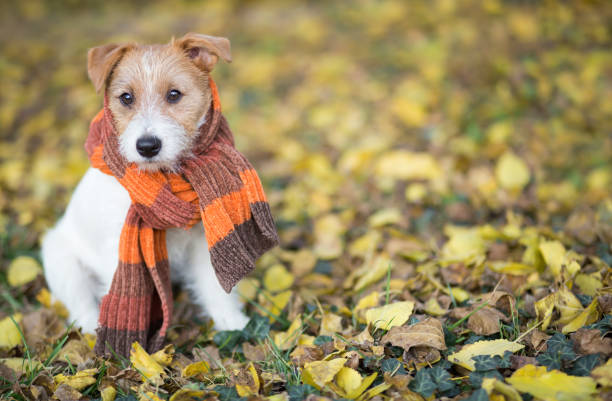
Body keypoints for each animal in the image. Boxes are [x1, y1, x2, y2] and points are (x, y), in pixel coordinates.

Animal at [41, 33, 250, 334]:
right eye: (126, 98)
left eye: (174, 94)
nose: (147, 146)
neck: (163, 179)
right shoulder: (119, 249)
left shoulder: (202, 238)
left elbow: (214, 284)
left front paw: (230, 322)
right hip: (62, 261)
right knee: (80, 303)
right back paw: (92, 327)